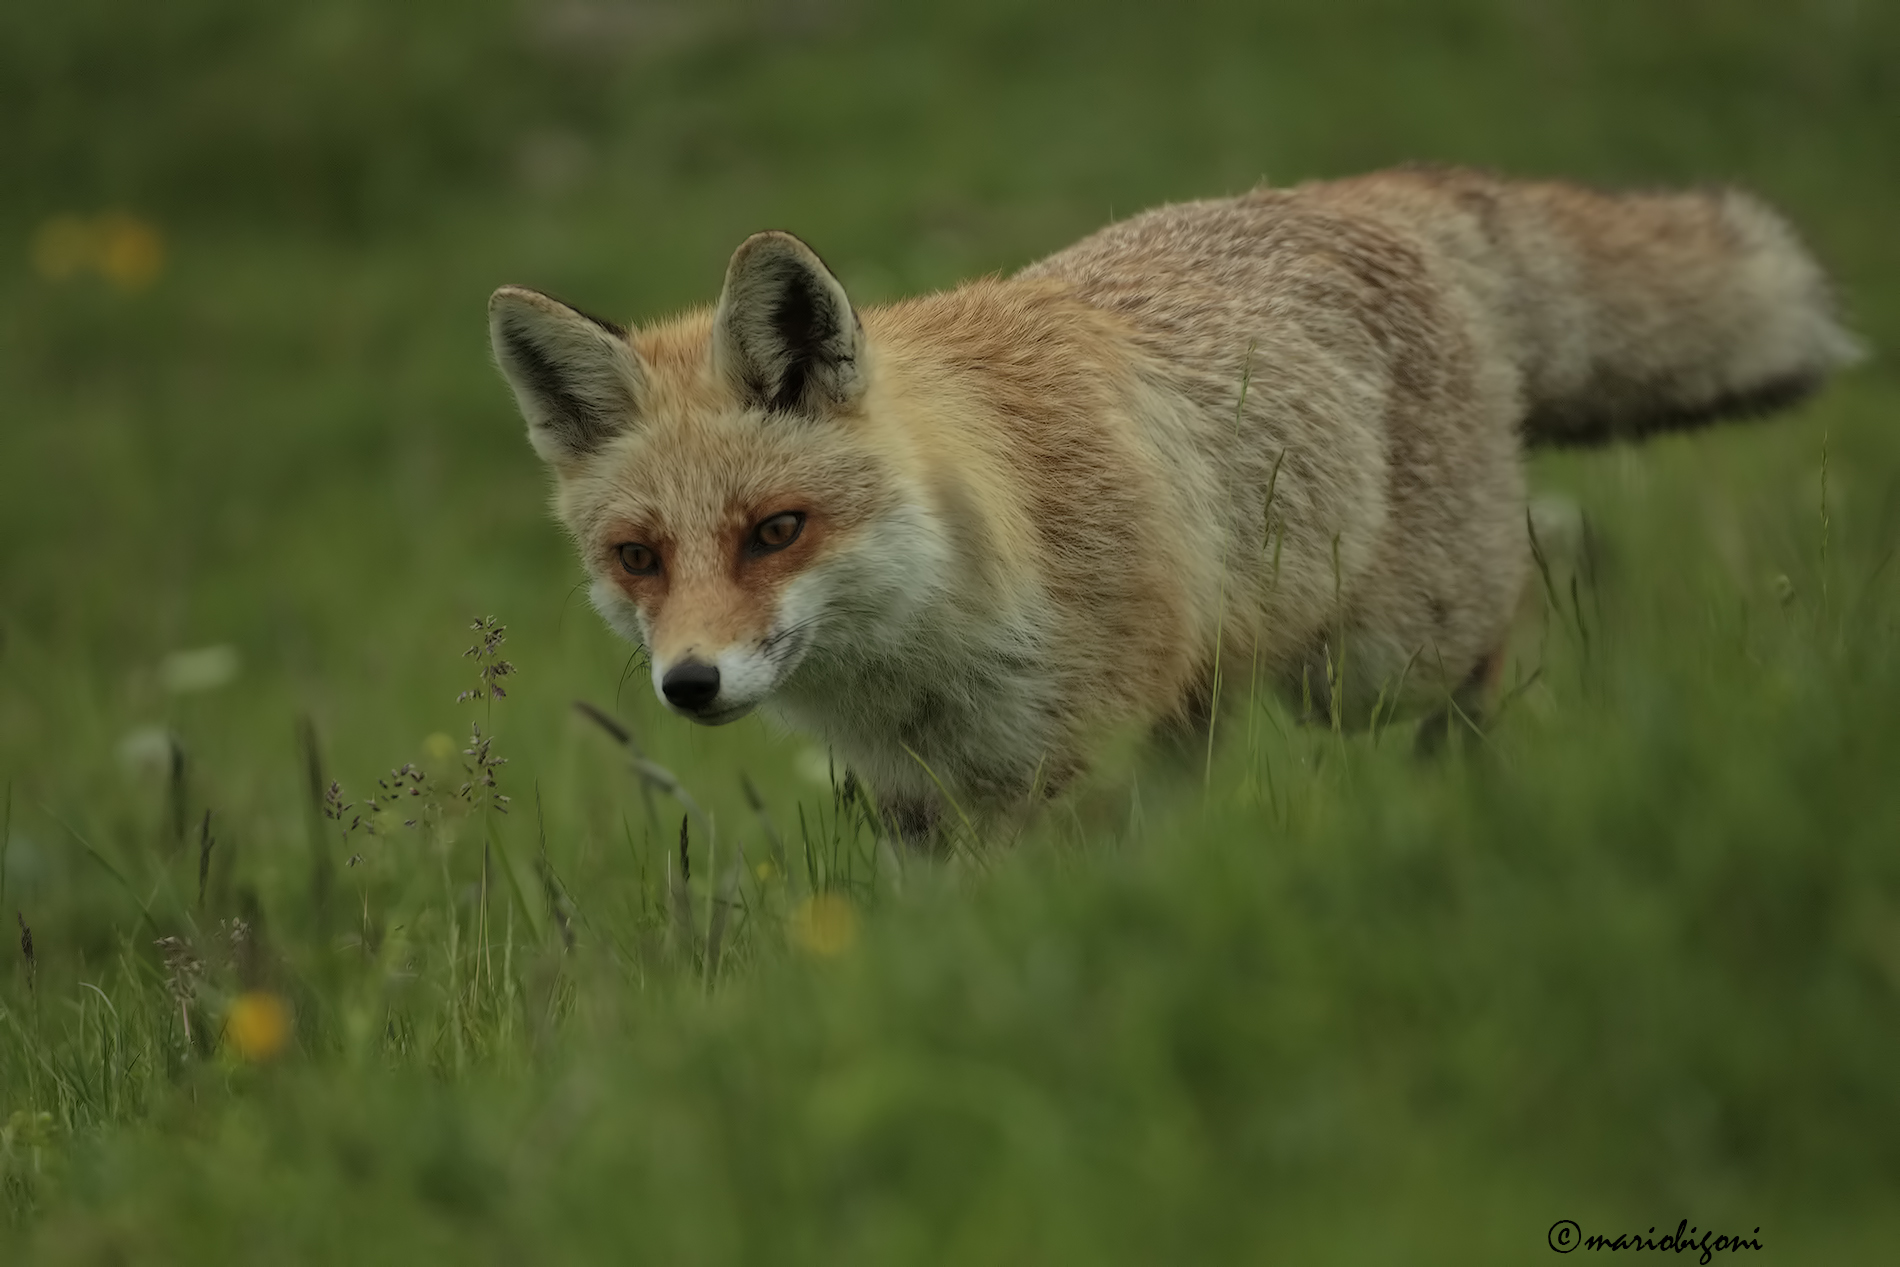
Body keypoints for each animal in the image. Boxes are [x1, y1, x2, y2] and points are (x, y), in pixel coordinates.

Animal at [488, 166, 1857, 835]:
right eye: (638, 556)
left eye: (776, 531)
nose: (689, 683)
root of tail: (1354, 194)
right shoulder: (923, 806)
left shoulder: (1075, 762)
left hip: (1371, 667)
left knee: (1486, 665)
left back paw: (1460, 799)